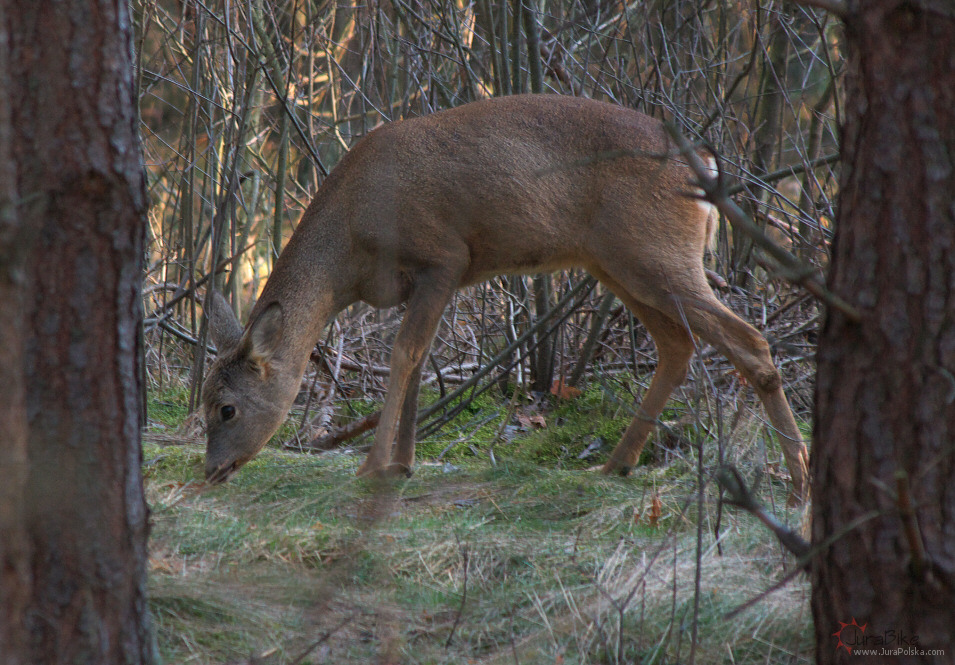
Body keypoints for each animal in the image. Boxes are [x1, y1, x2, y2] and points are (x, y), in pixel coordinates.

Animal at [205, 92, 812, 498]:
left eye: (226, 408)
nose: (210, 471)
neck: (352, 244)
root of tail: (705, 164)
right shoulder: (434, 279)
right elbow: (421, 361)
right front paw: (402, 463)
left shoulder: (443, 255)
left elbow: (405, 354)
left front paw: (372, 466)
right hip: (617, 263)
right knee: (677, 346)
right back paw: (613, 465)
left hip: (656, 254)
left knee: (749, 341)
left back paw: (799, 479)